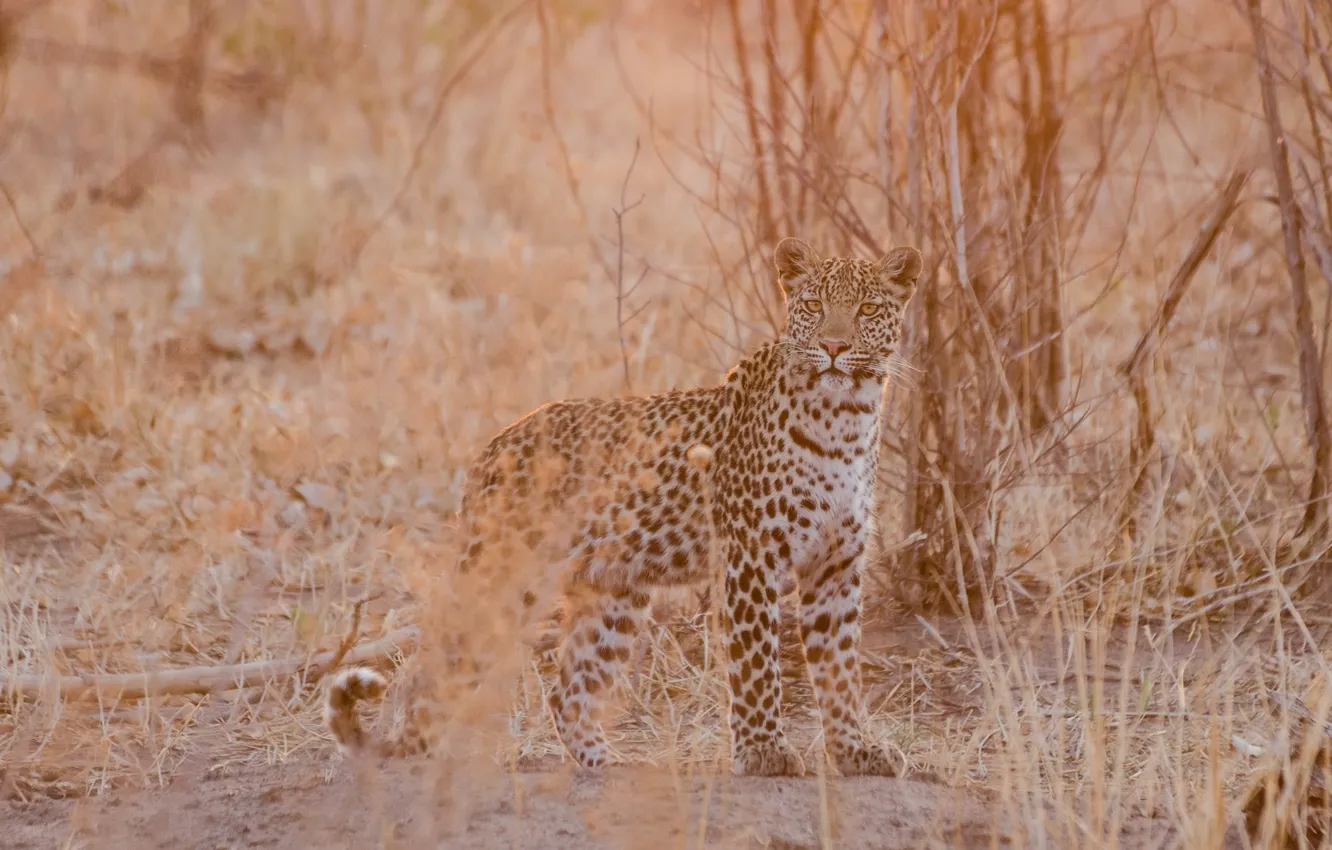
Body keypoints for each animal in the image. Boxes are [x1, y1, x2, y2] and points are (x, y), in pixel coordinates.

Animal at [325, 237, 923, 778]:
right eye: (815, 305)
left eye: (868, 310)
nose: (836, 346)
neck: (846, 420)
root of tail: (490, 450)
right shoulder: (750, 558)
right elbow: (757, 664)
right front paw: (764, 754)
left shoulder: (836, 566)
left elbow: (840, 667)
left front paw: (857, 751)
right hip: (500, 579)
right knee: (426, 669)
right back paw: (411, 754)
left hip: (612, 596)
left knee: (568, 688)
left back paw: (607, 764)